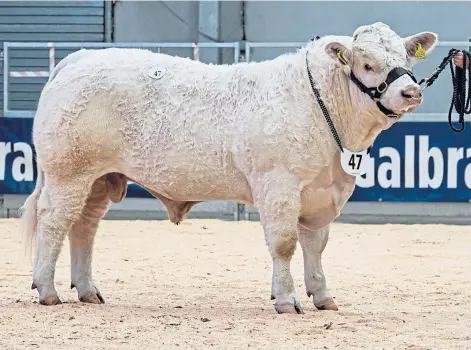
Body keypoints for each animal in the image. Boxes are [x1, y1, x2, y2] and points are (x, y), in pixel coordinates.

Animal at [19, 21, 438, 312]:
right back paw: (47, 290)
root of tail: (81, 57)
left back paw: (88, 290)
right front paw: (286, 299)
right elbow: (284, 244)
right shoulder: (278, 186)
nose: (411, 91)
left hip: (99, 178)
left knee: (84, 227)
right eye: (368, 63)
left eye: (405, 60)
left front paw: (322, 295)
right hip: (68, 172)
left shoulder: (321, 192)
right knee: (55, 222)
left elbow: (315, 245)